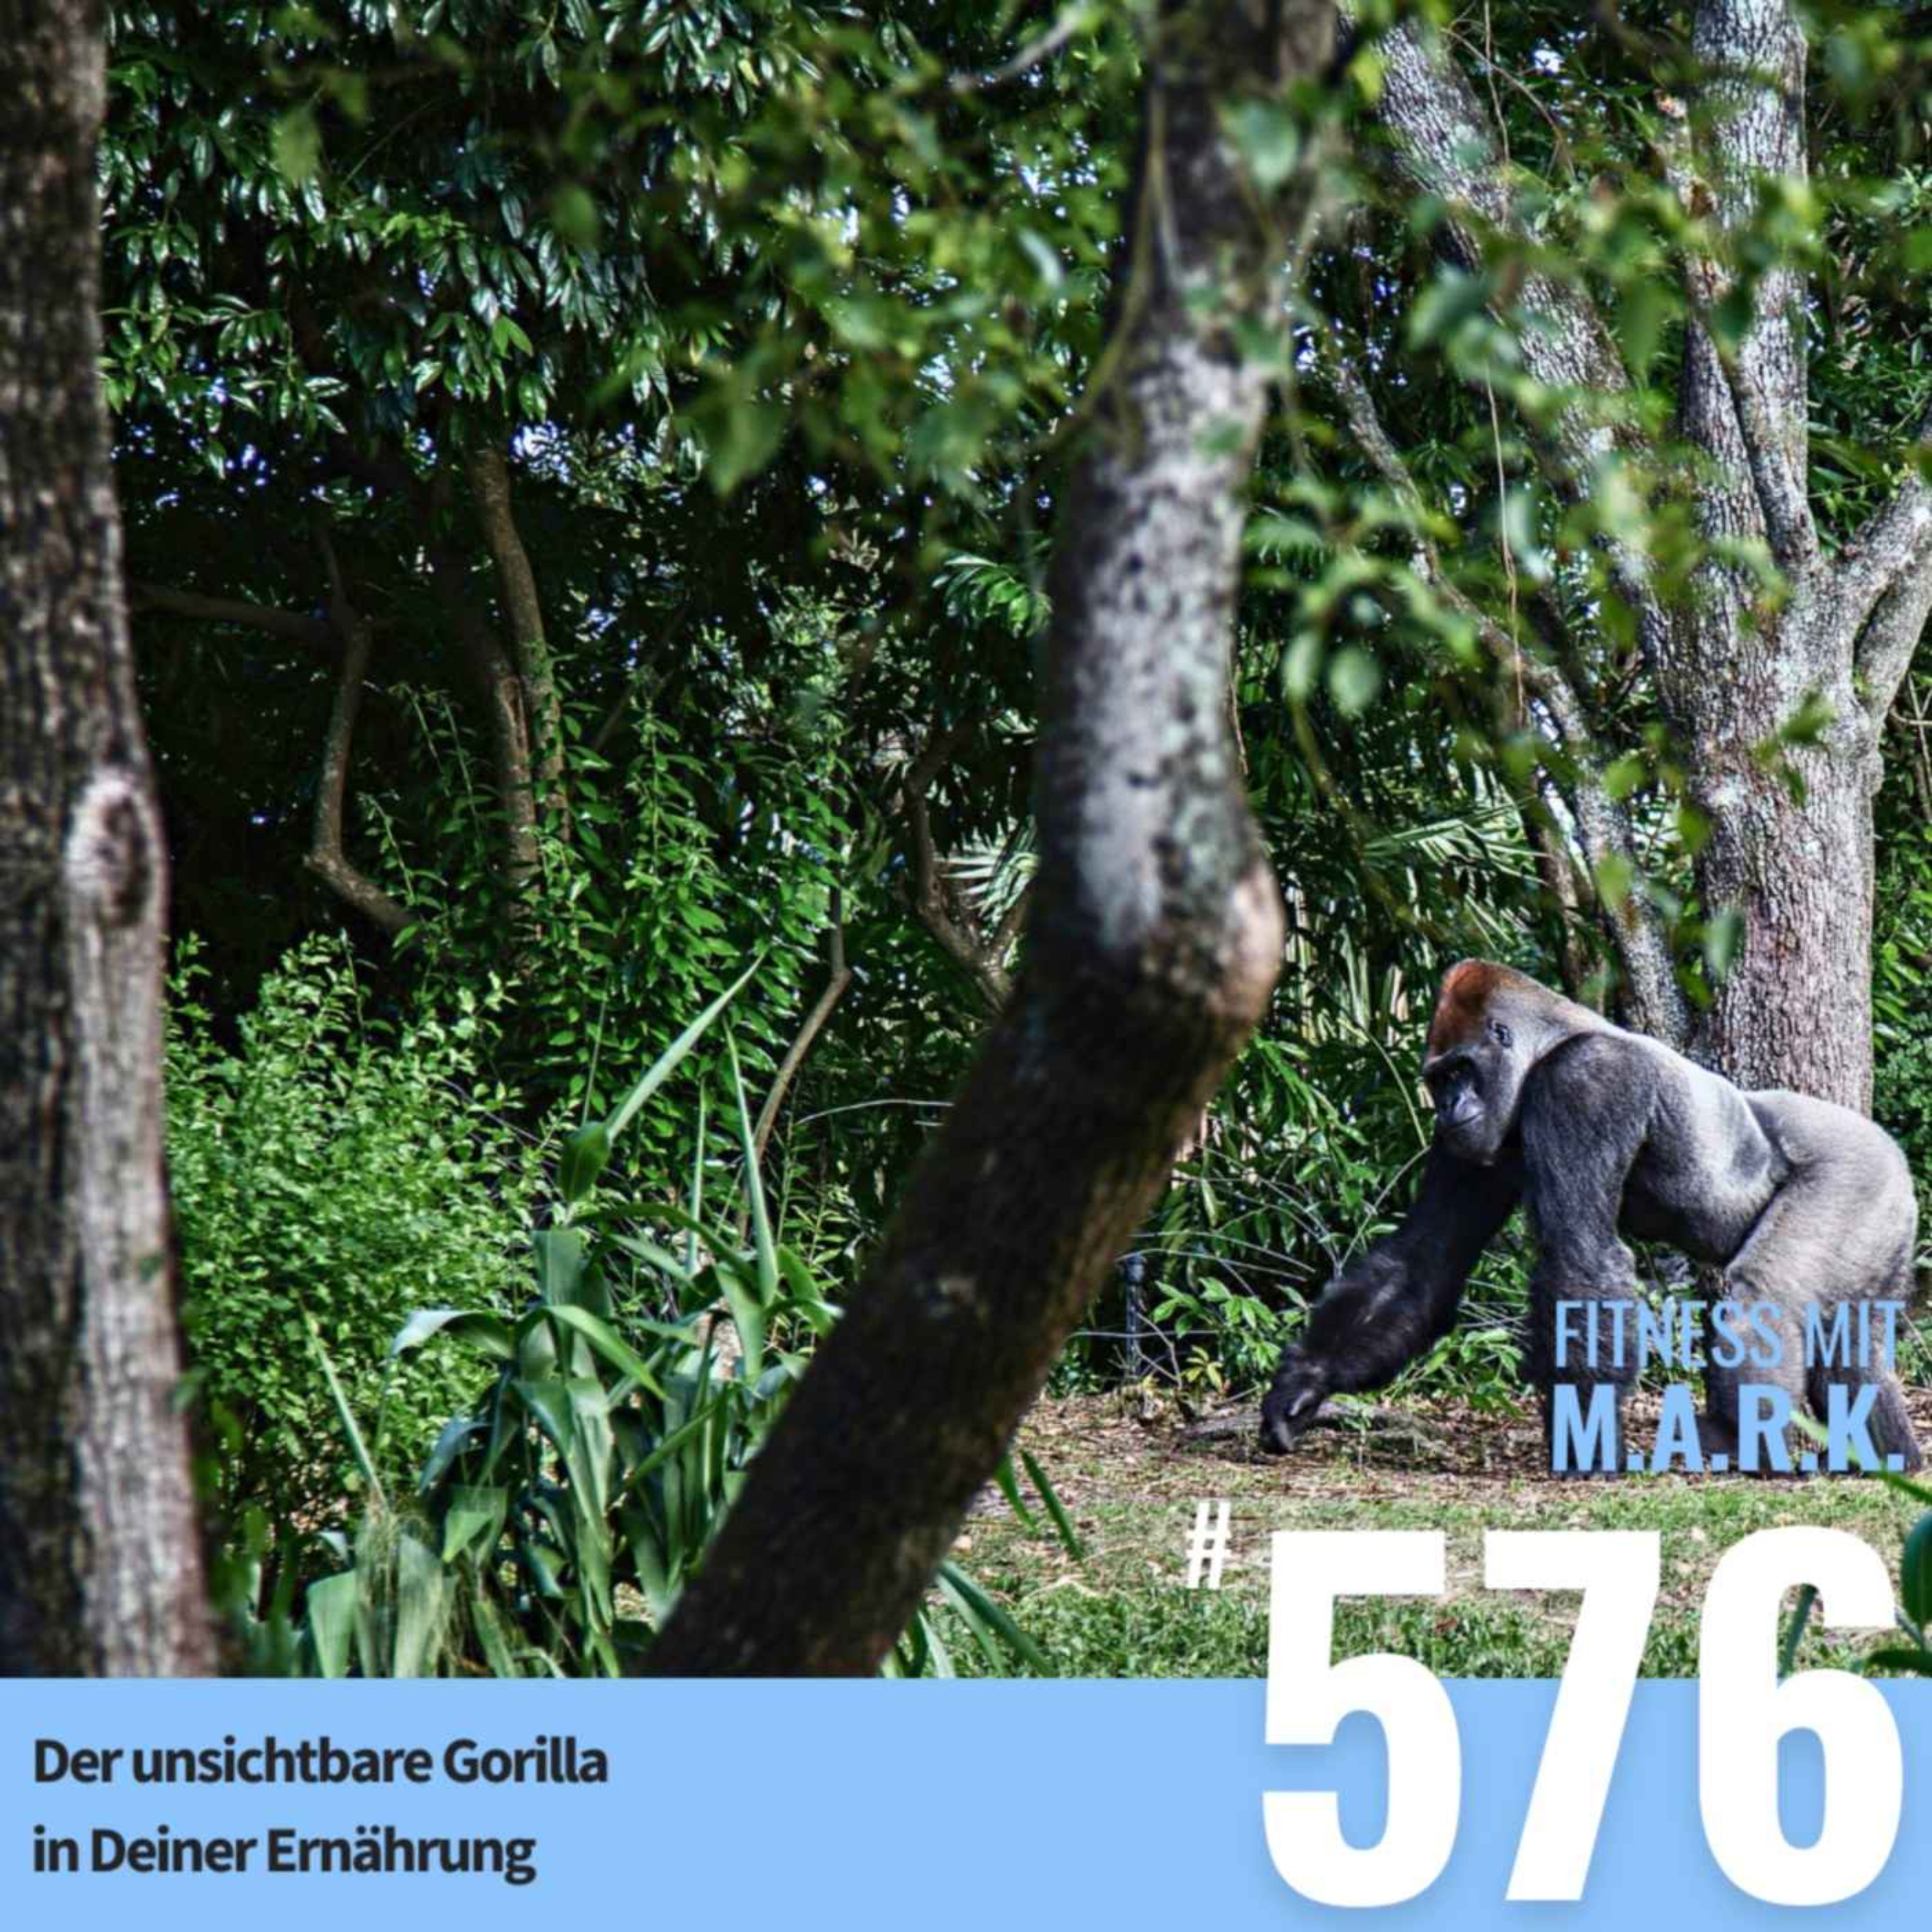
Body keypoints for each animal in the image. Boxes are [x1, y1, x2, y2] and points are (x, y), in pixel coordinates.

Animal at [1259, 960, 1925, 1473]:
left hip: (1856, 1173)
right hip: (1883, 1216)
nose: (1448, 1108)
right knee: (1852, 1343)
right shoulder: (1471, 1141)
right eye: (1438, 1079)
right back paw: (1886, 1456)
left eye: (1461, 1071)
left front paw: (1583, 1440)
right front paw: (1305, 1382)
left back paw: (1746, 1444)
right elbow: (1424, 1261)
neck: (1548, 1043)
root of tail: (1897, 1159)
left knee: (1762, 1293)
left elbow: (1579, 1254)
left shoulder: (1585, 1082)